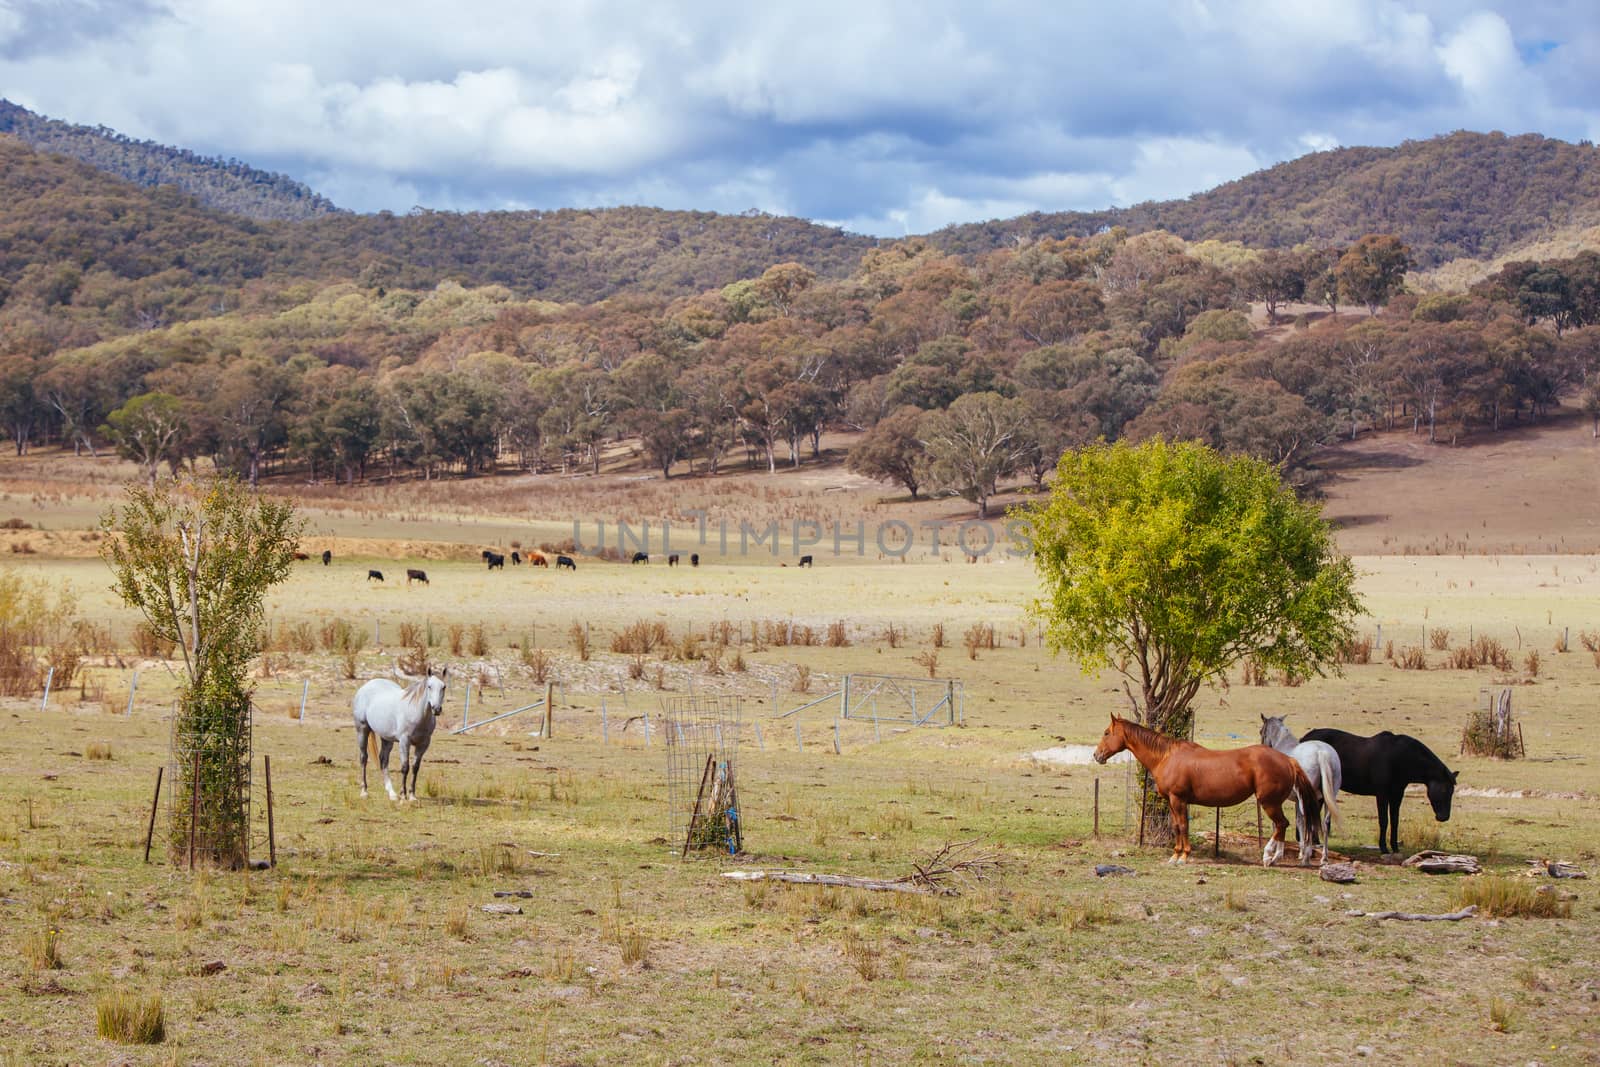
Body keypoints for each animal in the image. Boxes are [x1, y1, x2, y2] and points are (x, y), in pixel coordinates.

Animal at [353, 668, 448, 799]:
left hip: (386, 738)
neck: (415, 713)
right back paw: (364, 791)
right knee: (363, 758)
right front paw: (403, 795)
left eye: (444, 687)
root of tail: (366, 686)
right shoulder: (404, 742)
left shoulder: (423, 744)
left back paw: (391, 793)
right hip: (362, 730)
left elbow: (415, 768)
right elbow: (405, 767)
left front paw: (412, 795)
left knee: (383, 760)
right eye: (429, 686)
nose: (437, 709)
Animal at [1094, 710, 1318, 870]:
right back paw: (1274, 858)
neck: (1167, 756)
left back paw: (1268, 856)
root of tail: (1288, 760)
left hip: (1269, 803)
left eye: (1106, 733)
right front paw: (1175, 855)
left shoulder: (1178, 799)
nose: (1097, 755)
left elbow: (1183, 826)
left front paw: (1183, 856)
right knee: (1283, 826)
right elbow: (1176, 827)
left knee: (1281, 824)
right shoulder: (1171, 801)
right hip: (1274, 803)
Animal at [1254, 716, 1344, 870]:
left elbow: (1283, 823)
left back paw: (1306, 857)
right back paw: (1324, 858)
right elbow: (1300, 822)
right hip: (1329, 797)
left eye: (1261, 731)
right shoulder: (1299, 800)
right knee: (1325, 823)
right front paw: (1301, 851)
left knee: (1310, 821)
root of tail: (1321, 752)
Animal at [1305, 726, 1459, 851]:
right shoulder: (1382, 795)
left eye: (1452, 792)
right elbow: (1384, 821)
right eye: (1444, 790)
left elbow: (1395, 821)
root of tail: (1305, 739)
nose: (1444, 817)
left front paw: (1395, 847)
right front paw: (1383, 847)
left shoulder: (1397, 795)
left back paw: (1316, 841)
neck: (1399, 757)